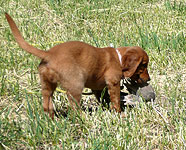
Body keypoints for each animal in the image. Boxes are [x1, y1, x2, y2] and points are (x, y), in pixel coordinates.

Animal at [5, 13, 150, 118]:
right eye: (143, 65)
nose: (149, 80)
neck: (118, 58)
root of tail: (49, 54)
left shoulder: (97, 88)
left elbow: (104, 98)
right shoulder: (113, 83)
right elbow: (115, 100)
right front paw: (119, 114)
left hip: (47, 84)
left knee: (47, 103)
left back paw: (51, 120)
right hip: (76, 84)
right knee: (74, 107)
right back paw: (84, 119)